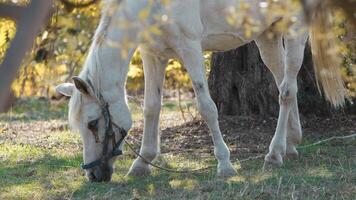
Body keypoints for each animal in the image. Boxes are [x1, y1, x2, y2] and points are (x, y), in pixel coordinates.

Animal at [55, 0, 344, 181]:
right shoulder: (153, 55)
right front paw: (142, 163)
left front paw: (225, 164)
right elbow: (151, 109)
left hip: (295, 27)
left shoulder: (190, 49)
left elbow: (207, 108)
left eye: (93, 124)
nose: (93, 176)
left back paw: (274, 154)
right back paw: (290, 145)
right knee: (284, 82)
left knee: (286, 90)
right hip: (268, 35)